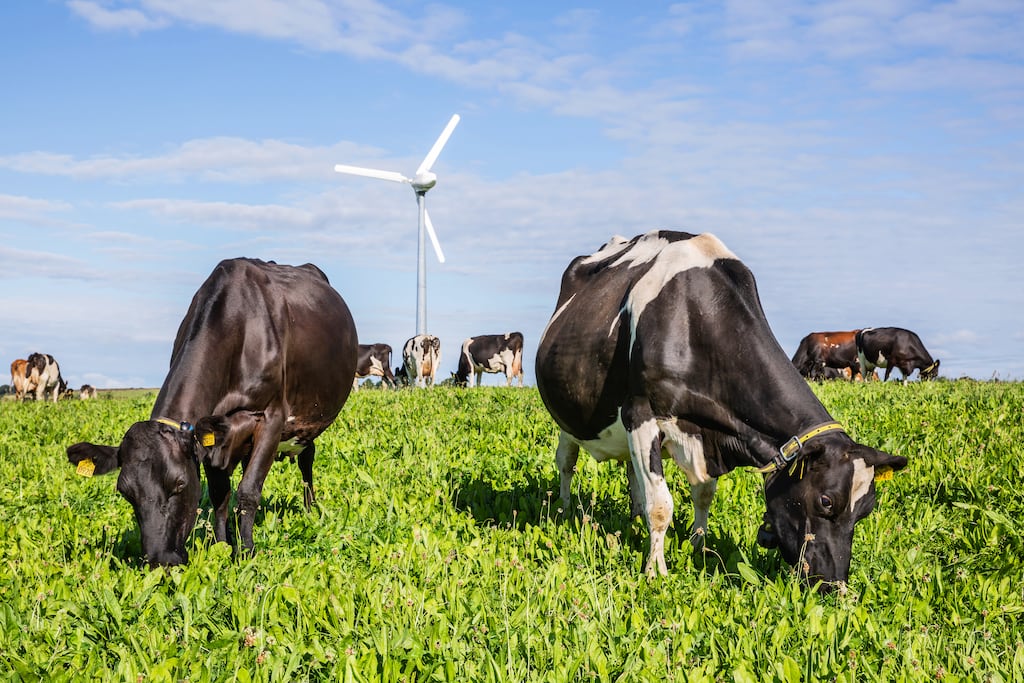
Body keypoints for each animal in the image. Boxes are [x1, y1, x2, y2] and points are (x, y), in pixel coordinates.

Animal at [66, 258, 358, 566]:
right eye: (126, 493)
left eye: (180, 484)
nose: (160, 560)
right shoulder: (209, 435)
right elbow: (220, 494)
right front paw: (222, 545)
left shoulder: (272, 417)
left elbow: (248, 490)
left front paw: (246, 552)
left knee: (306, 458)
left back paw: (310, 509)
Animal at [535, 231, 907, 589]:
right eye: (826, 501)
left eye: (866, 510)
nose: (834, 586)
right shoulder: (640, 414)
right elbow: (661, 505)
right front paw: (656, 572)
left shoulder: (705, 433)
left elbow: (702, 494)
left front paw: (698, 547)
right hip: (568, 419)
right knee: (567, 462)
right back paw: (566, 511)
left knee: (633, 475)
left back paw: (634, 520)